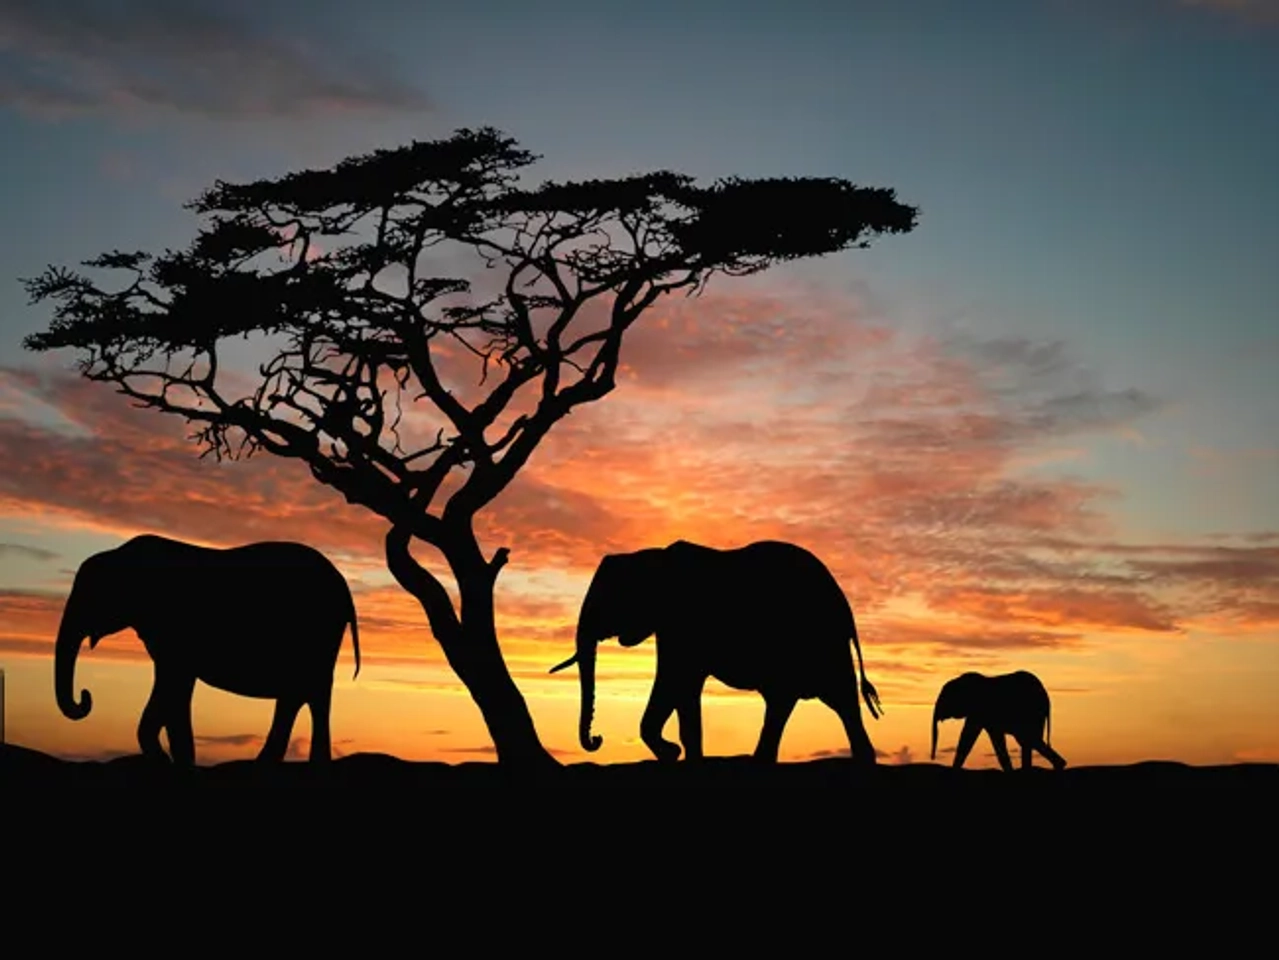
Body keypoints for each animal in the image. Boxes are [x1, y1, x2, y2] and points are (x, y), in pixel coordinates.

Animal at [54, 534, 360, 766]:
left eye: (90, 595)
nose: (85, 697)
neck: (121, 554)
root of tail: (344, 588)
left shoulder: (175, 631)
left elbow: (173, 684)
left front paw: (172, 761)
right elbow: (174, 688)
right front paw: (174, 760)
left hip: (317, 636)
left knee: (311, 693)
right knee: (300, 695)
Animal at [549, 539, 883, 765]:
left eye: (609, 600)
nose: (597, 739)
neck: (651, 556)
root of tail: (844, 604)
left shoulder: (683, 624)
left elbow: (675, 680)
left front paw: (674, 753)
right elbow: (680, 688)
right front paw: (679, 755)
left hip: (821, 641)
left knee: (837, 698)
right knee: (793, 701)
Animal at [931, 670, 1067, 772]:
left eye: (945, 698)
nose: (932, 758)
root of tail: (1046, 698)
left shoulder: (979, 711)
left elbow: (969, 736)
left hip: (1032, 713)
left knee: (1029, 739)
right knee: (1028, 740)